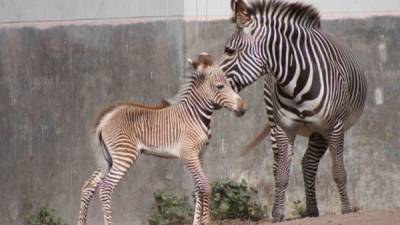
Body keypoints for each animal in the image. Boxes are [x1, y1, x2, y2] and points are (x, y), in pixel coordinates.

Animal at [76, 52, 247, 225]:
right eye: (220, 86)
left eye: (230, 84)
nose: (243, 108)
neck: (195, 115)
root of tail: (106, 118)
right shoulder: (189, 154)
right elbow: (205, 187)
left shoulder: (199, 154)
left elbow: (199, 189)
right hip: (124, 156)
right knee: (105, 188)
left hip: (109, 159)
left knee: (88, 185)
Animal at [220, 0, 368, 221]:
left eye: (230, 51)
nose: (208, 81)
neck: (295, 82)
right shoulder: (284, 129)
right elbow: (282, 174)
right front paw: (277, 214)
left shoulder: (334, 127)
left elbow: (339, 170)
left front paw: (347, 210)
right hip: (276, 123)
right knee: (286, 165)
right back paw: (308, 209)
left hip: (319, 131)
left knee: (309, 163)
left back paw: (313, 210)